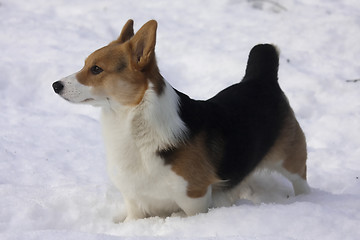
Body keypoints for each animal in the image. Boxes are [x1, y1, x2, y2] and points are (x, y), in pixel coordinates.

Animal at [52, 19, 310, 222]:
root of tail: (261, 79)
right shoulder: (134, 202)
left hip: (291, 160)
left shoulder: (194, 198)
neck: (133, 120)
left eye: (96, 69)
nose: (55, 85)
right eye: (85, 64)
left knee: (301, 182)